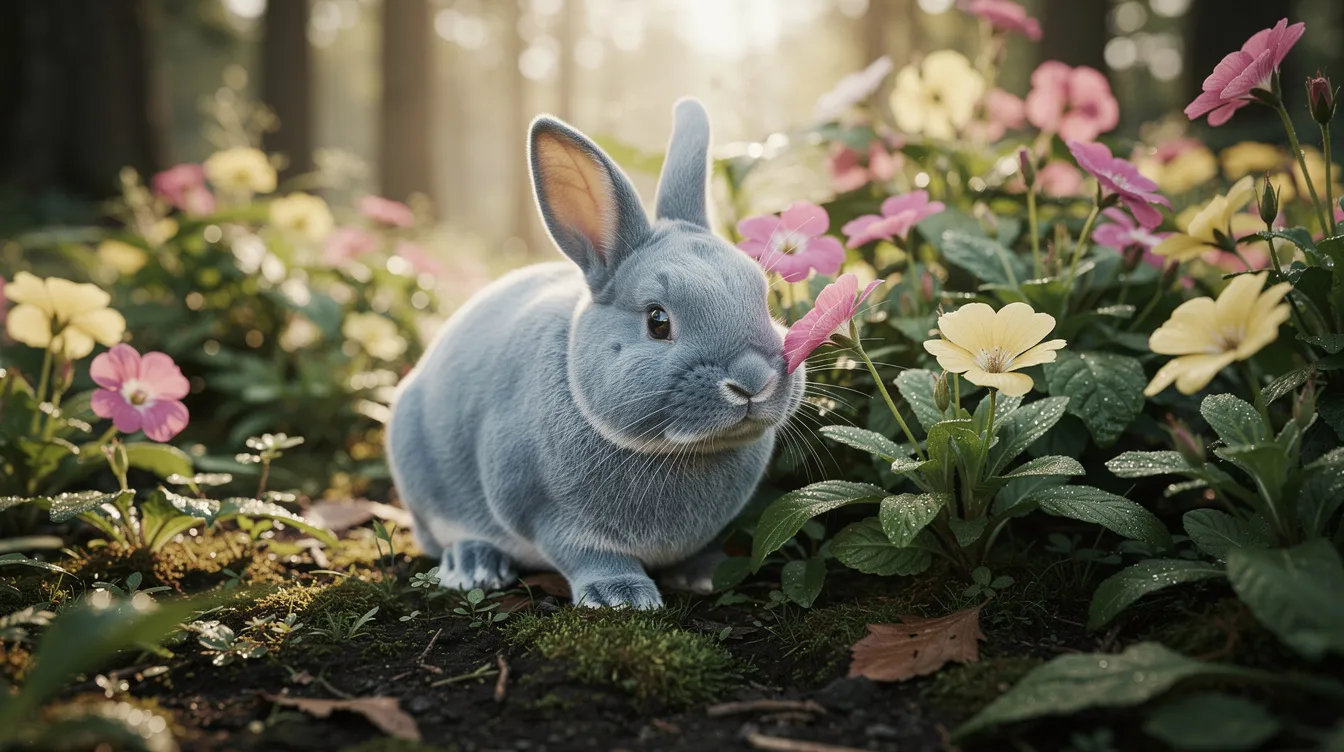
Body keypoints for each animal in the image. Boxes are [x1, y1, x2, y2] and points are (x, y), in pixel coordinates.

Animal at [385, 98, 804, 609]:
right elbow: (588, 553)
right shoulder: (549, 514)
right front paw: (620, 596)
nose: (753, 381)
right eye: (658, 321)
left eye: (764, 299)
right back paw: (473, 566)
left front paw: (706, 575)